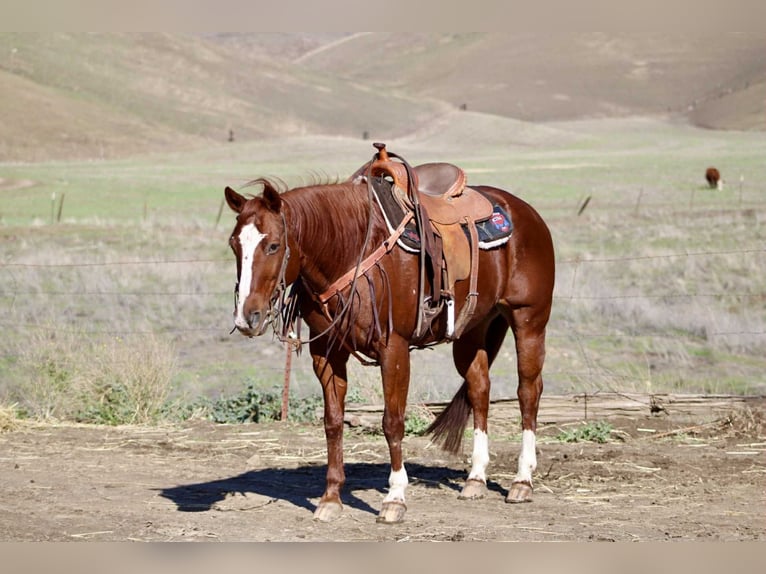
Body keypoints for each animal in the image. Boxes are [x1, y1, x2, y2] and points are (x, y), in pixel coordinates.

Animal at [224, 148, 555, 523]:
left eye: (274, 245)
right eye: (234, 245)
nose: (247, 317)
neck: (349, 251)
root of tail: (525, 212)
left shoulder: (393, 349)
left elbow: (392, 422)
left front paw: (395, 497)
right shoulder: (326, 351)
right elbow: (333, 422)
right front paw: (330, 498)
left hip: (529, 321)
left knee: (528, 392)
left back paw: (522, 481)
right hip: (473, 330)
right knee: (479, 390)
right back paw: (475, 478)